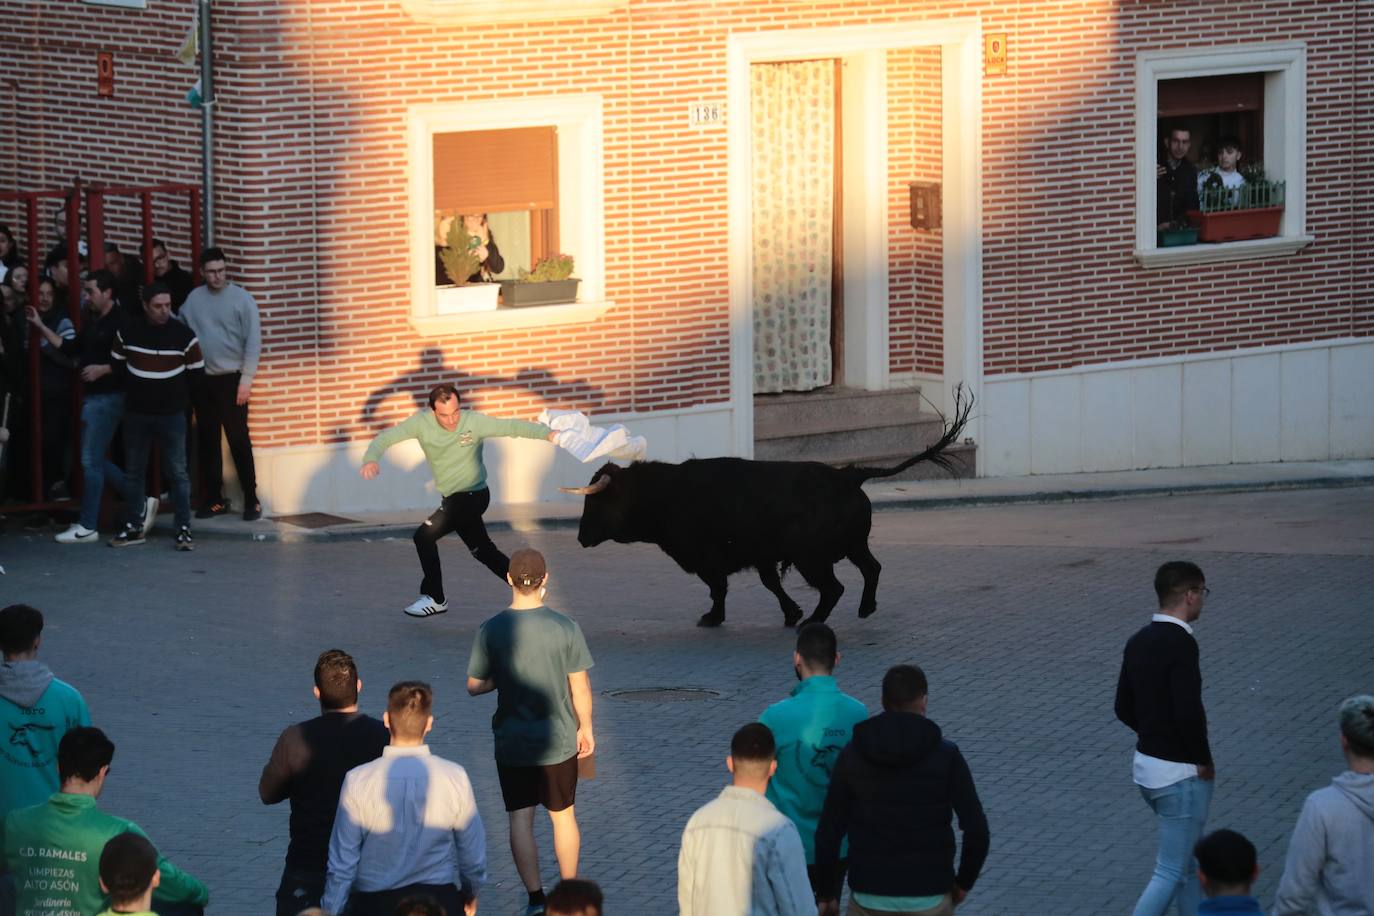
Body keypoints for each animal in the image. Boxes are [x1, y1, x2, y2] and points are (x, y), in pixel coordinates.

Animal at [563, 387, 972, 631]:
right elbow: (769, 583)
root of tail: (848, 476)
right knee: (871, 569)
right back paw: (864, 608)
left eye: (595, 500)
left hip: (812, 557)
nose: (580, 537)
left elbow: (719, 588)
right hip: (853, 545)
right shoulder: (760, 555)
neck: (665, 493)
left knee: (834, 587)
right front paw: (790, 612)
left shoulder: (711, 558)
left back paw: (815, 621)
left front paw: (714, 617)